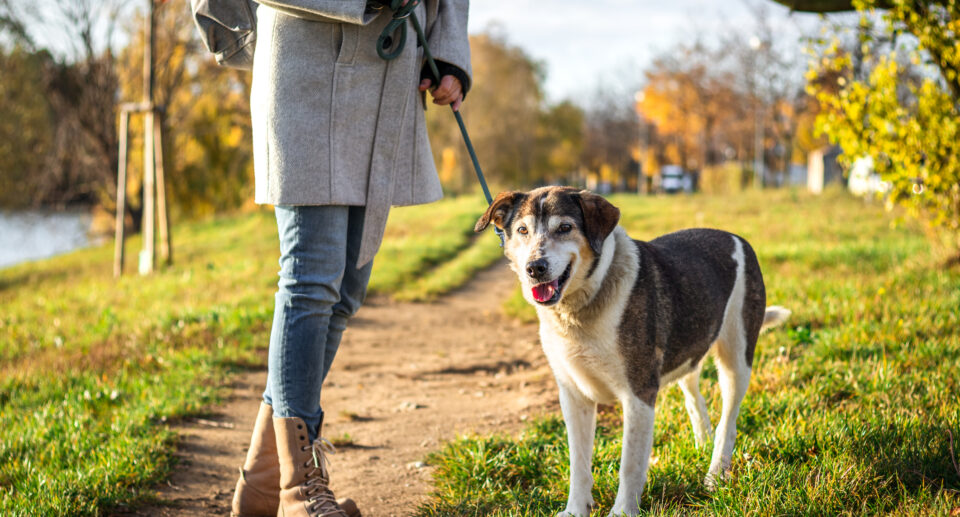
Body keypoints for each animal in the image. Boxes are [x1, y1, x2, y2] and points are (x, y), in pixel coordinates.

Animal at [476, 186, 792, 516]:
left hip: (737, 356)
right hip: (688, 348)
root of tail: (736, 238)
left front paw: (623, 511)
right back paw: (702, 444)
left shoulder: (639, 394)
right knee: (695, 397)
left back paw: (716, 473)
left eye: (564, 227)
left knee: (728, 421)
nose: (534, 268)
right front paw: (576, 509)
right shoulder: (573, 395)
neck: (583, 304)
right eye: (522, 230)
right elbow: (578, 463)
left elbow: (630, 464)